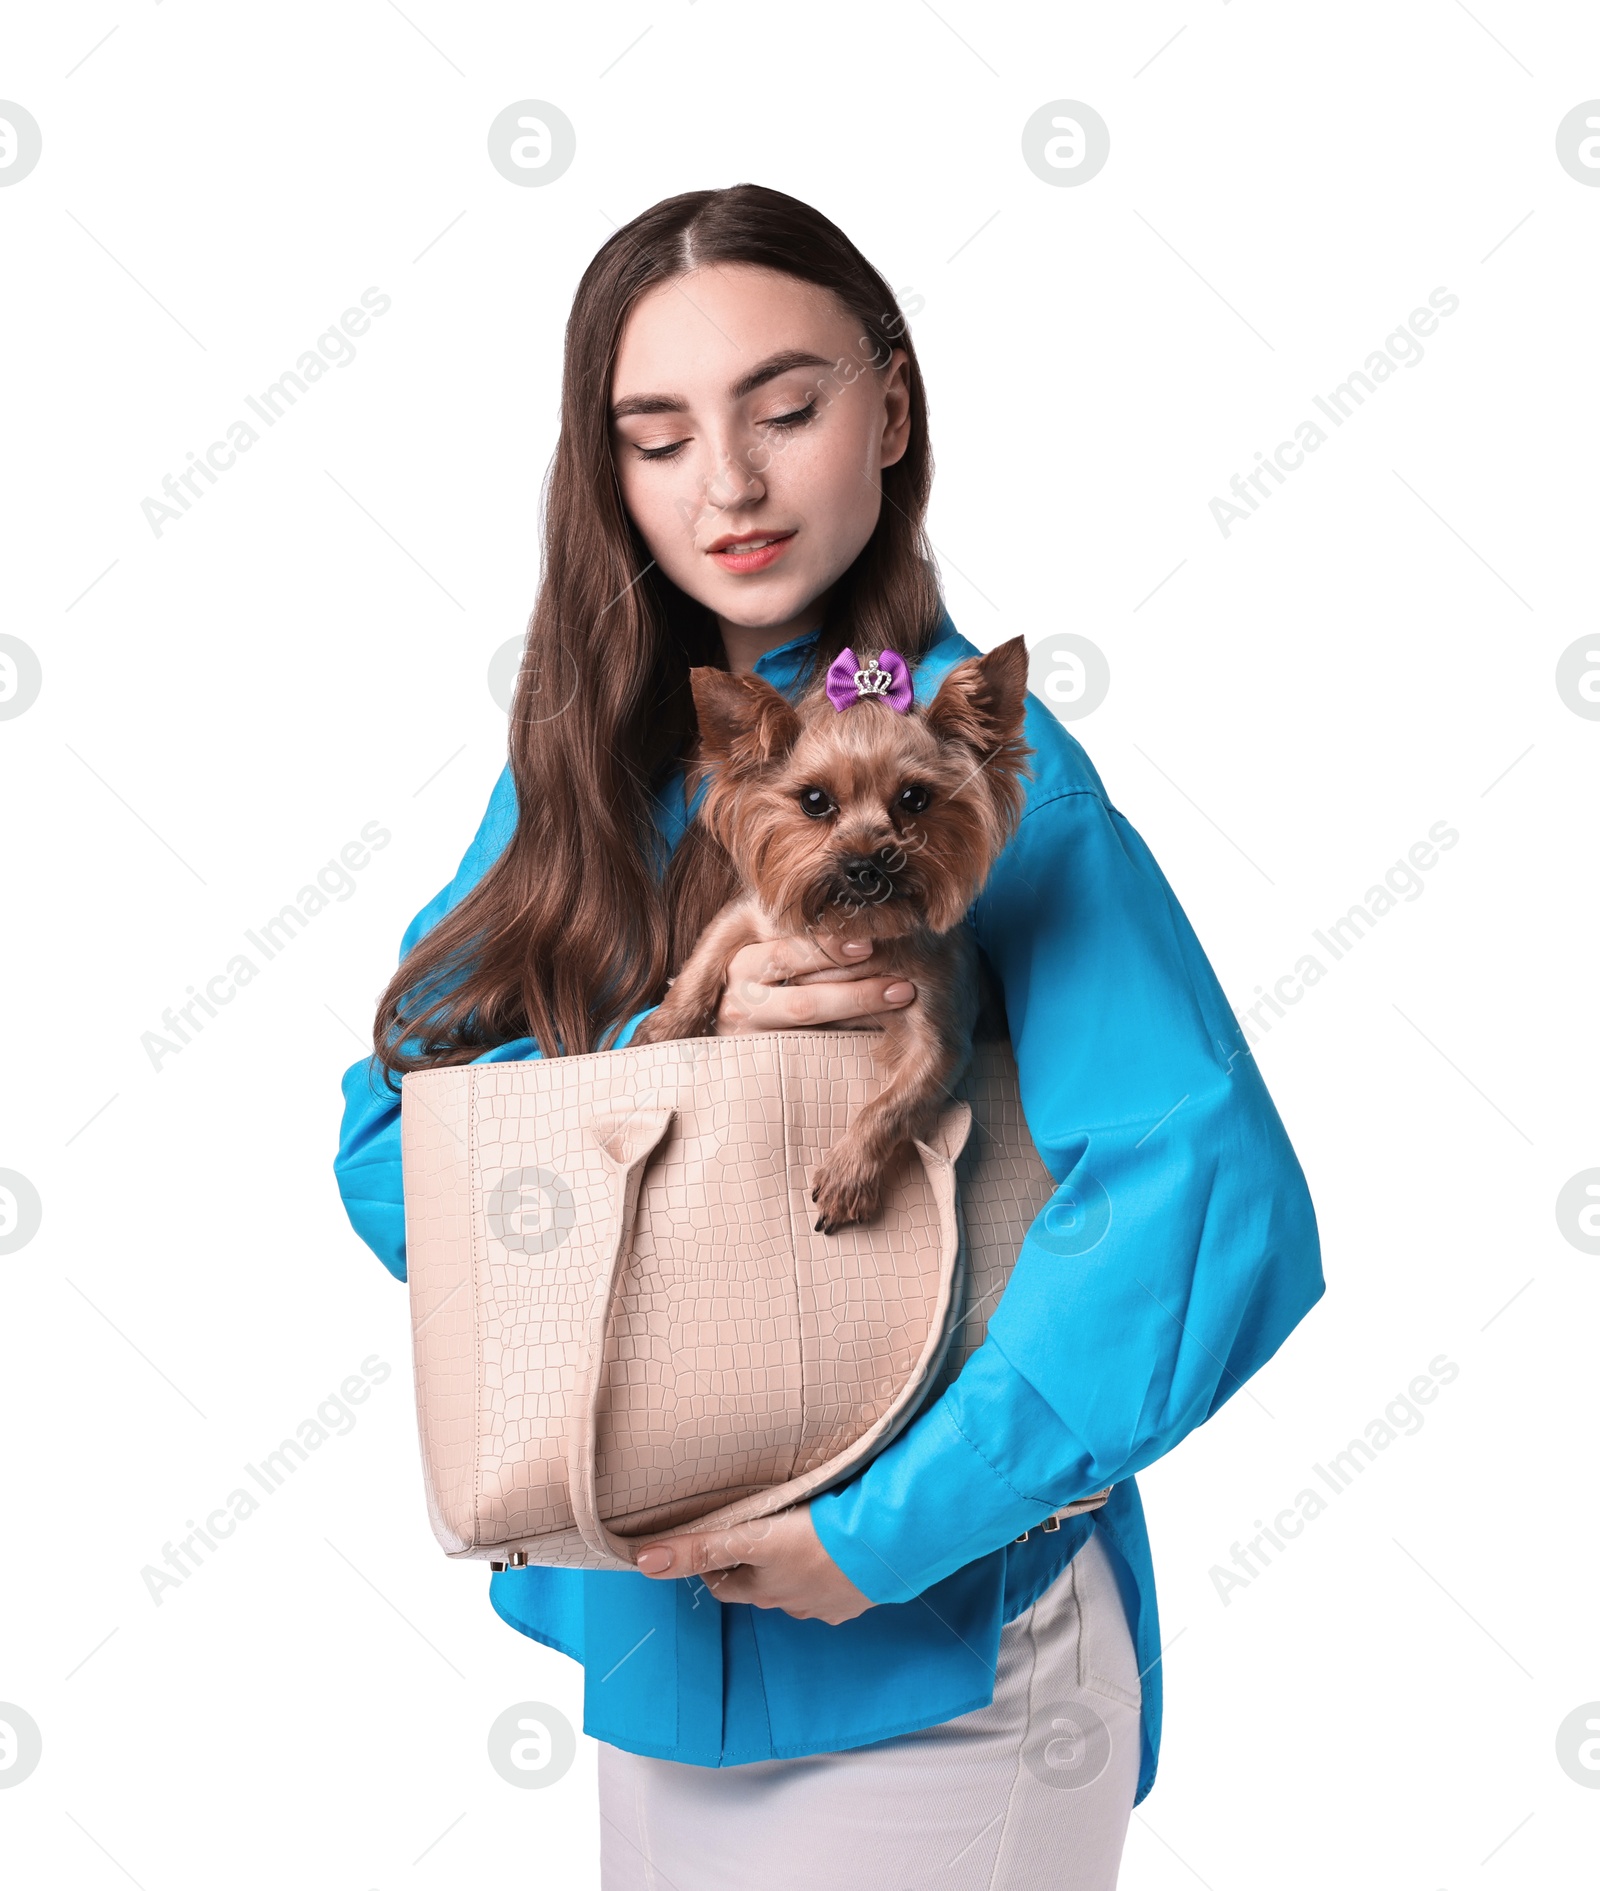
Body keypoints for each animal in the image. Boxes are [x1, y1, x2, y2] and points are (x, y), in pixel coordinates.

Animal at [639, 631, 1036, 1225]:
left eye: (915, 798)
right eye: (814, 801)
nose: (865, 864)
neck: (860, 925)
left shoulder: (939, 1032)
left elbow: (892, 1103)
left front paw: (849, 1175)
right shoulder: (752, 916)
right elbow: (704, 959)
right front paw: (663, 1029)